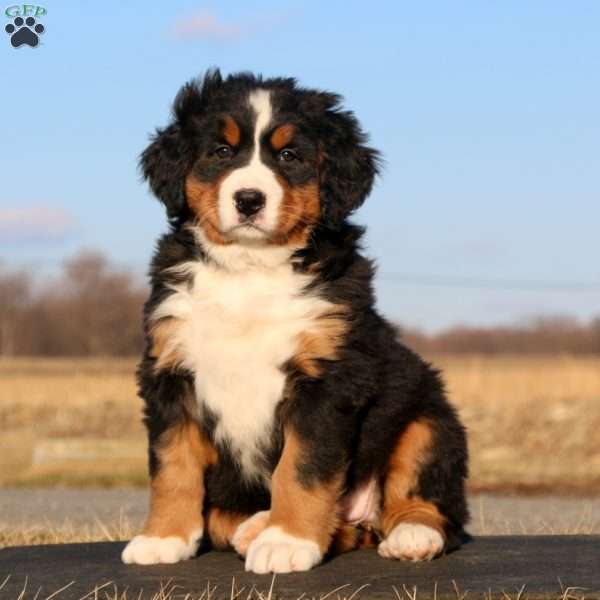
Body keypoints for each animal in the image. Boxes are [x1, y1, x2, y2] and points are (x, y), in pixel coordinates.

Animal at [122, 69, 468, 572]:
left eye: (289, 156)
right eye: (221, 151)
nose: (249, 200)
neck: (250, 268)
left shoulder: (327, 379)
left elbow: (302, 467)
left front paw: (288, 540)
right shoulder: (169, 372)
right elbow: (172, 465)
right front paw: (163, 537)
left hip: (427, 418)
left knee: (432, 503)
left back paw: (411, 535)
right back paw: (253, 526)